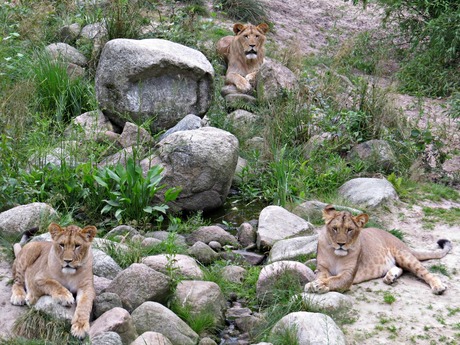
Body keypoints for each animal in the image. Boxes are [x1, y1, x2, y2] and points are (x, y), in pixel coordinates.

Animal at [306, 203, 452, 294]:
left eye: (349, 230)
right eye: (335, 228)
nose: (341, 244)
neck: (335, 255)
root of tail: (401, 242)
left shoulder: (348, 275)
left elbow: (334, 280)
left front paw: (317, 285)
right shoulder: (322, 268)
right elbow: (322, 277)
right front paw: (317, 284)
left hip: (403, 255)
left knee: (425, 272)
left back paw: (438, 286)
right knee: (399, 268)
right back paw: (390, 277)